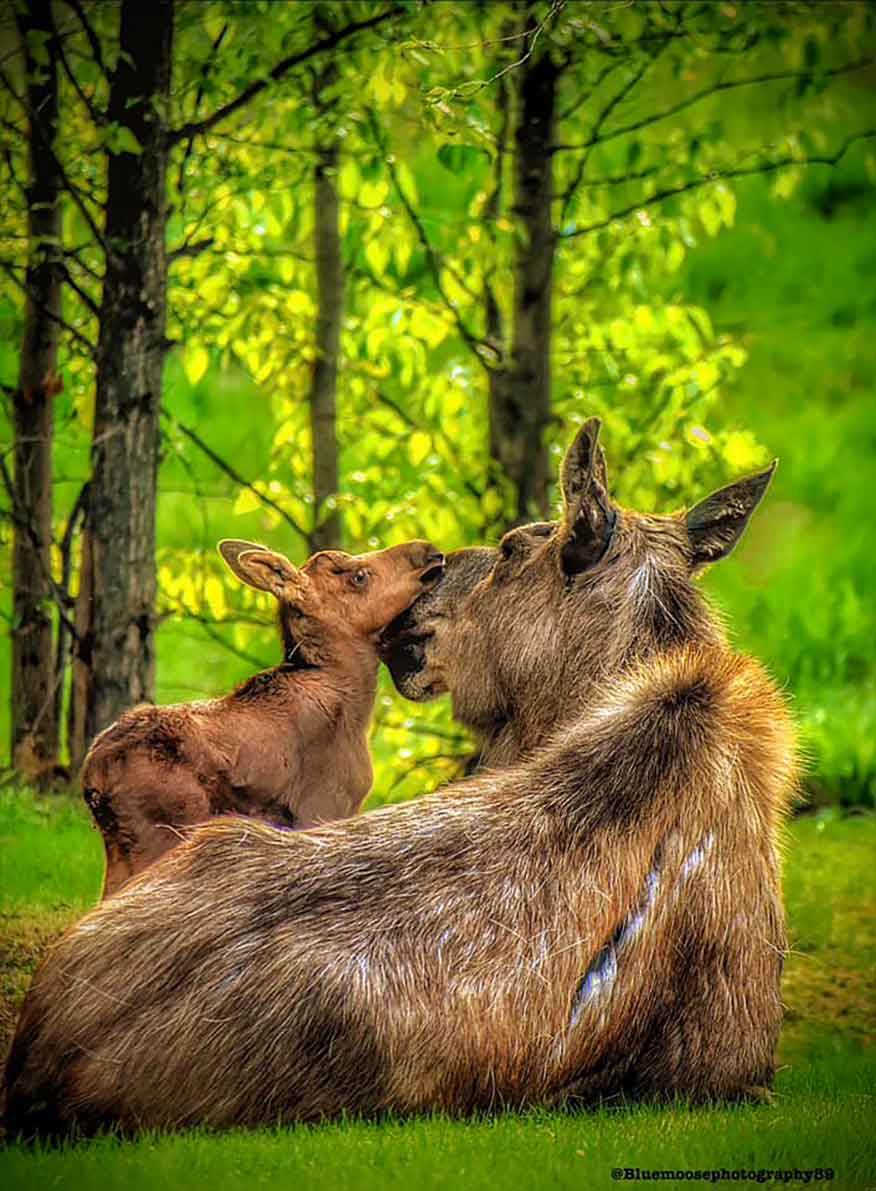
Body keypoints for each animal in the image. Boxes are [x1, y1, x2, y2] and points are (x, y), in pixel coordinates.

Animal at [78, 538, 440, 895]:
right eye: (359, 576)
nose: (429, 551)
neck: (356, 703)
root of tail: (94, 777)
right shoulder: (323, 807)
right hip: (162, 831)